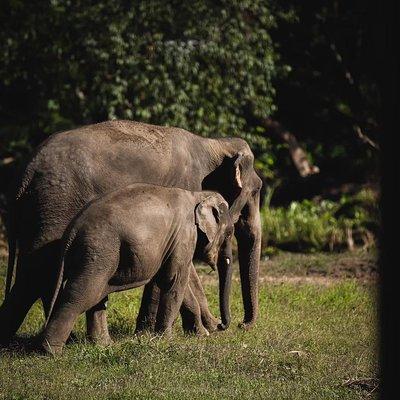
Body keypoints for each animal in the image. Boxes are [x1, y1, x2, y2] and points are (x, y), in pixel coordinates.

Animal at [39, 183, 234, 352]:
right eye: (230, 233)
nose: (221, 324)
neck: (197, 195)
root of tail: (71, 232)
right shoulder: (184, 234)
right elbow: (174, 280)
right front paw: (166, 340)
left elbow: (173, 281)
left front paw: (200, 335)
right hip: (99, 250)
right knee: (82, 294)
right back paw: (50, 351)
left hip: (99, 256)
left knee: (97, 296)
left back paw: (104, 345)